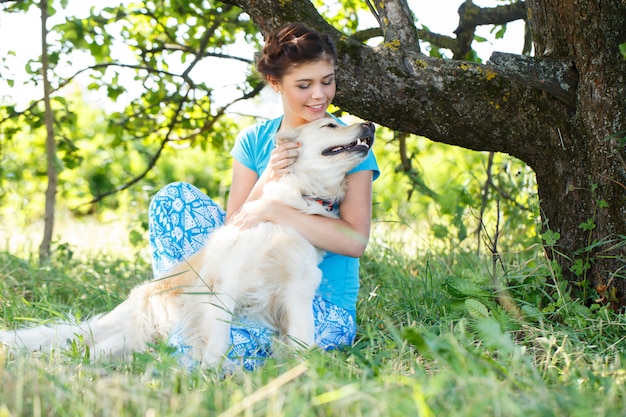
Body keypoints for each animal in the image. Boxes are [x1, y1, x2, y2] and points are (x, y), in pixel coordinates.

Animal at [0, 118, 372, 368]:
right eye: (330, 124)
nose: (369, 125)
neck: (296, 201)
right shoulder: (225, 285)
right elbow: (218, 340)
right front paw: (209, 374)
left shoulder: (298, 292)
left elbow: (304, 341)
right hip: (136, 331)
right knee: (88, 351)